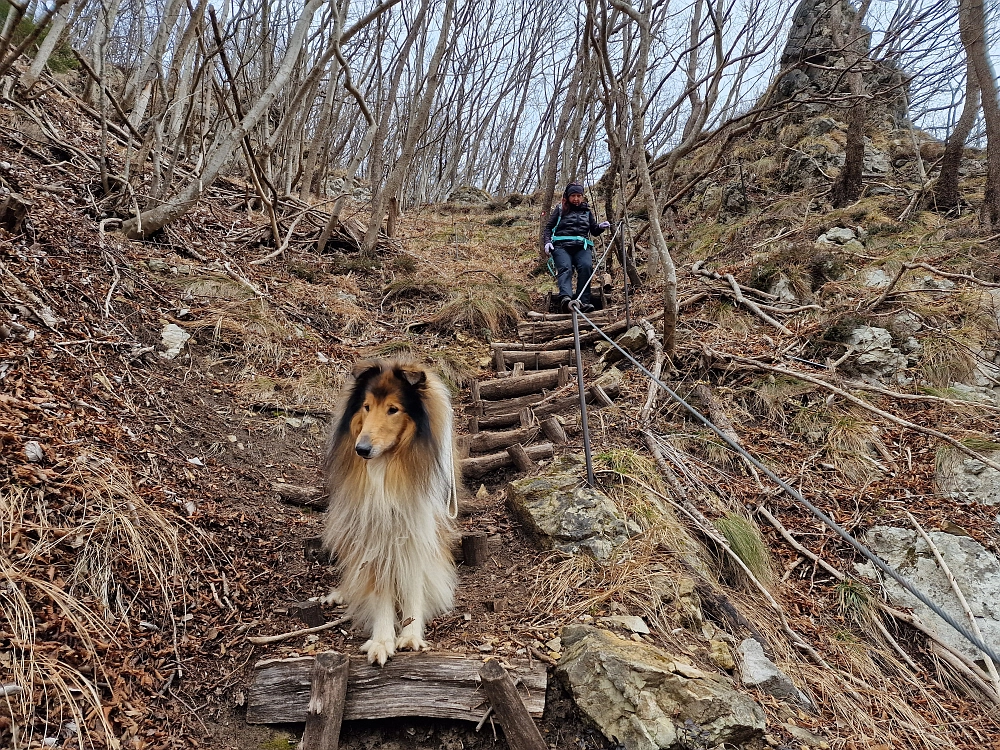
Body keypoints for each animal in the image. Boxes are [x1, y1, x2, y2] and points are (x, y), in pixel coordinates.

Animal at [322, 362, 458, 668]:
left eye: (393, 409)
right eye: (366, 407)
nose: (361, 449)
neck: (388, 467)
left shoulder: (418, 530)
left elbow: (414, 582)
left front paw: (410, 634)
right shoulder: (374, 534)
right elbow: (379, 587)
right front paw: (382, 640)